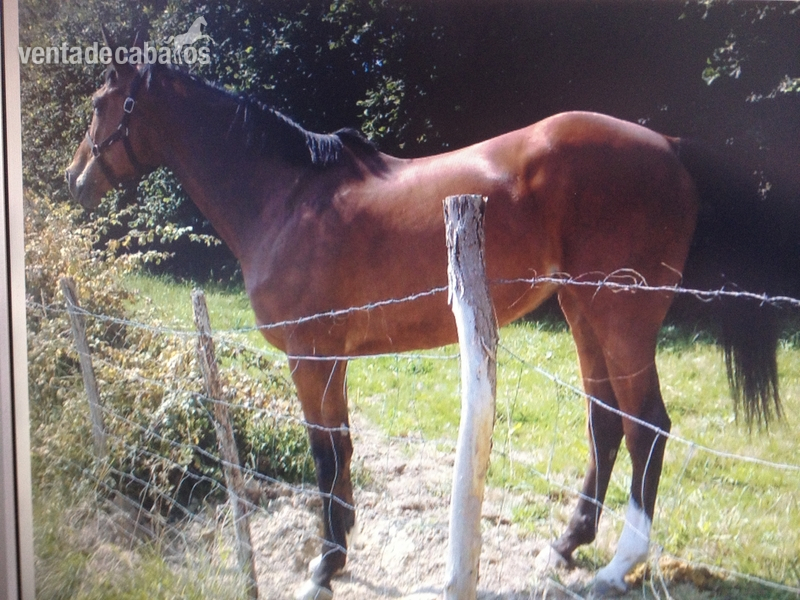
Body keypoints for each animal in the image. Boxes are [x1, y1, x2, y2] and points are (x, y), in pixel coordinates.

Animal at [66, 43, 797, 599]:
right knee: (606, 421)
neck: (289, 199)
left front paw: (324, 564)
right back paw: (566, 544)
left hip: (620, 319)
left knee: (648, 426)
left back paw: (617, 566)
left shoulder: (311, 357)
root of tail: (667, 145)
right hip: (583, 313)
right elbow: (342, 448)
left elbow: (324, 452)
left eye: (101, 105)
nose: (75, 180)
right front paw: (339, 549)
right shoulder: (331, 359)